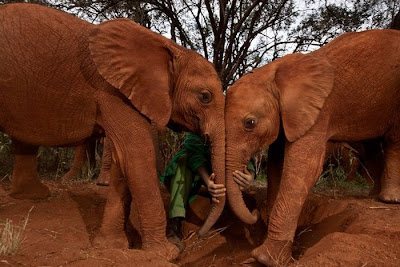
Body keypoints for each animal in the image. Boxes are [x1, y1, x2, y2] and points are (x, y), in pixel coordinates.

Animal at [0, 3, 225, 262]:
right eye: (205, 96)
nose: (198, 237)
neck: (168, 47)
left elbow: (123, 159)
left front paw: (112, 246)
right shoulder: (111, 90)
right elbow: (136, 153)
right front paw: (166, 253)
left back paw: (33, 196)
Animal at [225, 29, 400, 266]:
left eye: (249, 123)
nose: (254, 212)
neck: (274, 72)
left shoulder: (320, 110)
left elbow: (303, 167)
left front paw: (266, 258)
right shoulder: (289, 114)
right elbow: (277, 164)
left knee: (393, 139)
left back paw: (389, 199)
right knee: (371, 145)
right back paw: (373, 195)